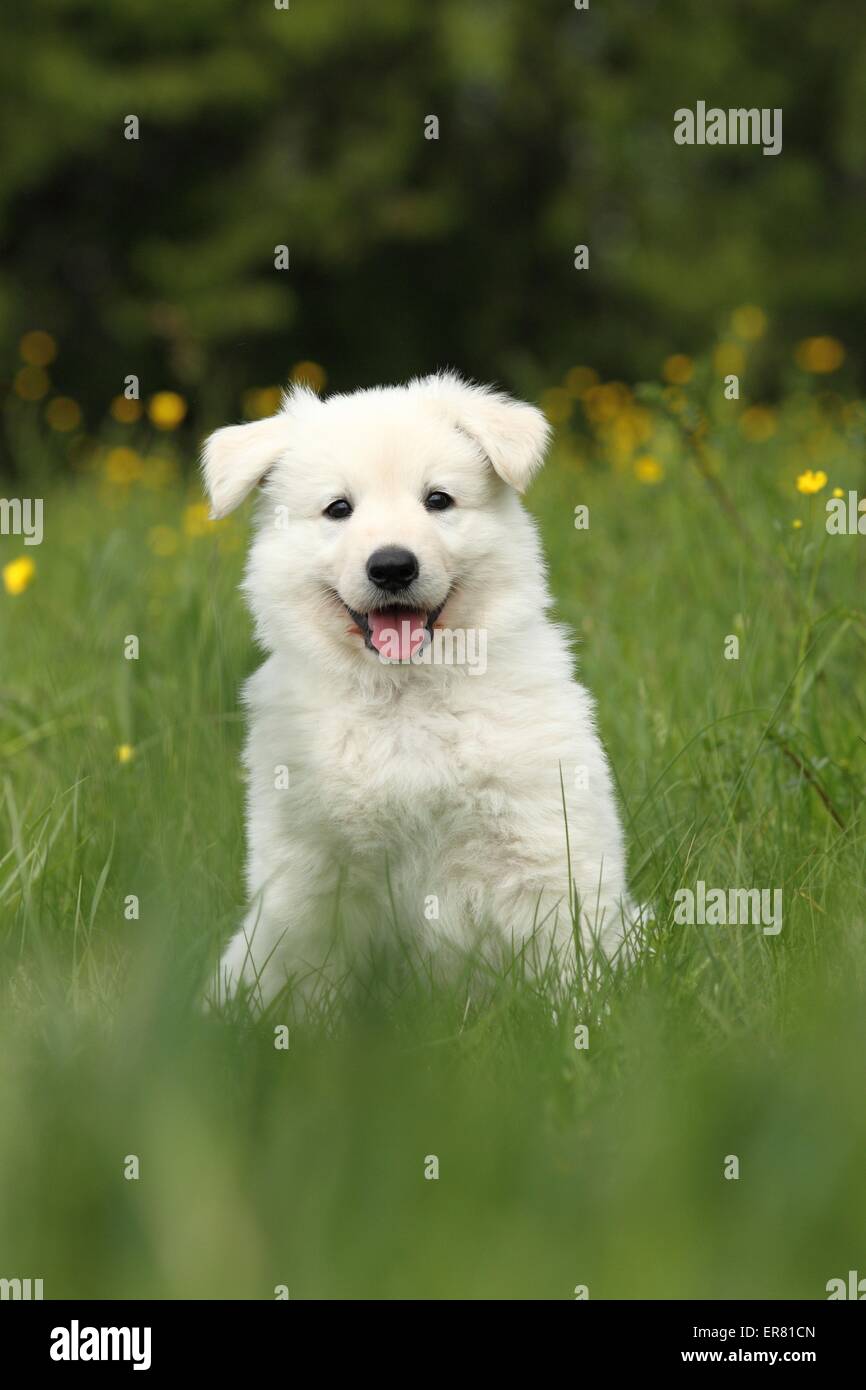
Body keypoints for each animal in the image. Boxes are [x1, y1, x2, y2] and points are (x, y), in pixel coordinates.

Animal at [204, 369, 636, 1011]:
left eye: (438, 500)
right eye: (338, 509)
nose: (391, 567)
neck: (405, 697)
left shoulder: (543, 844)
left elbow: (569, 958)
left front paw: (586, 1023)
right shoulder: (314, 878)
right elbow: (314, 981)